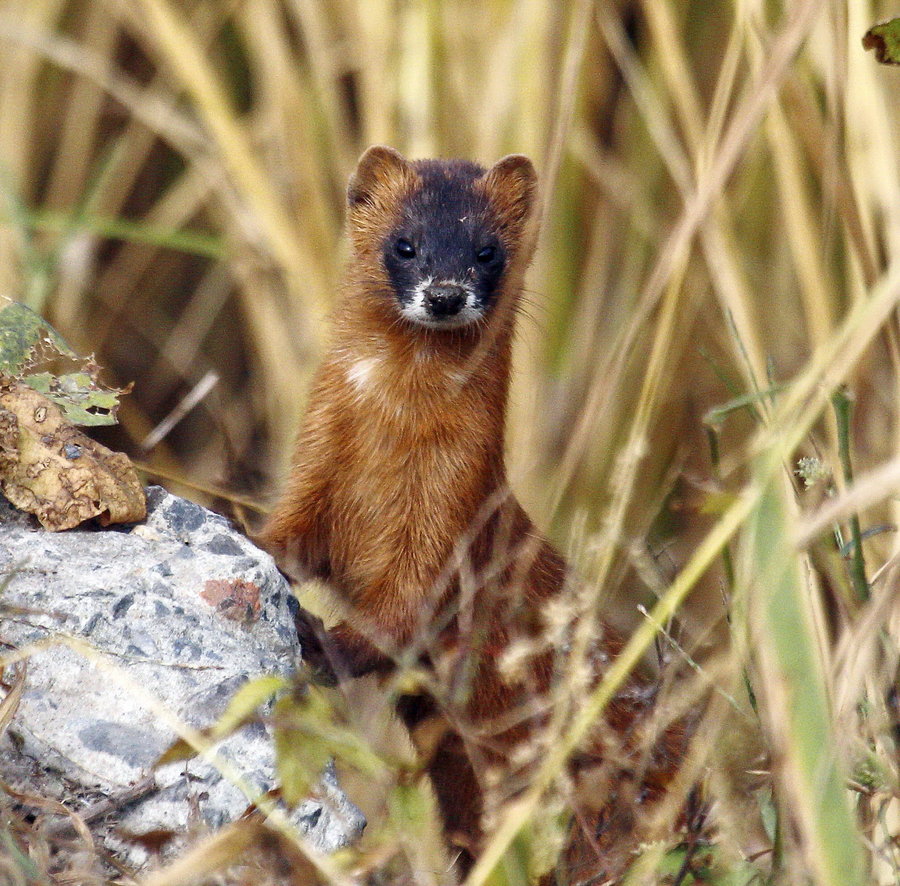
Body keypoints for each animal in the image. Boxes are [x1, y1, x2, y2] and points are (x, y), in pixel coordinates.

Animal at [262, 149, 688, 884]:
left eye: (488, 251)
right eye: (404, 244)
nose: (444, 293)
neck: (390, 444)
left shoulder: (452, 511)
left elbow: (405, 611)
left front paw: (323, 642)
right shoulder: (315, 466)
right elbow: (288, 539)